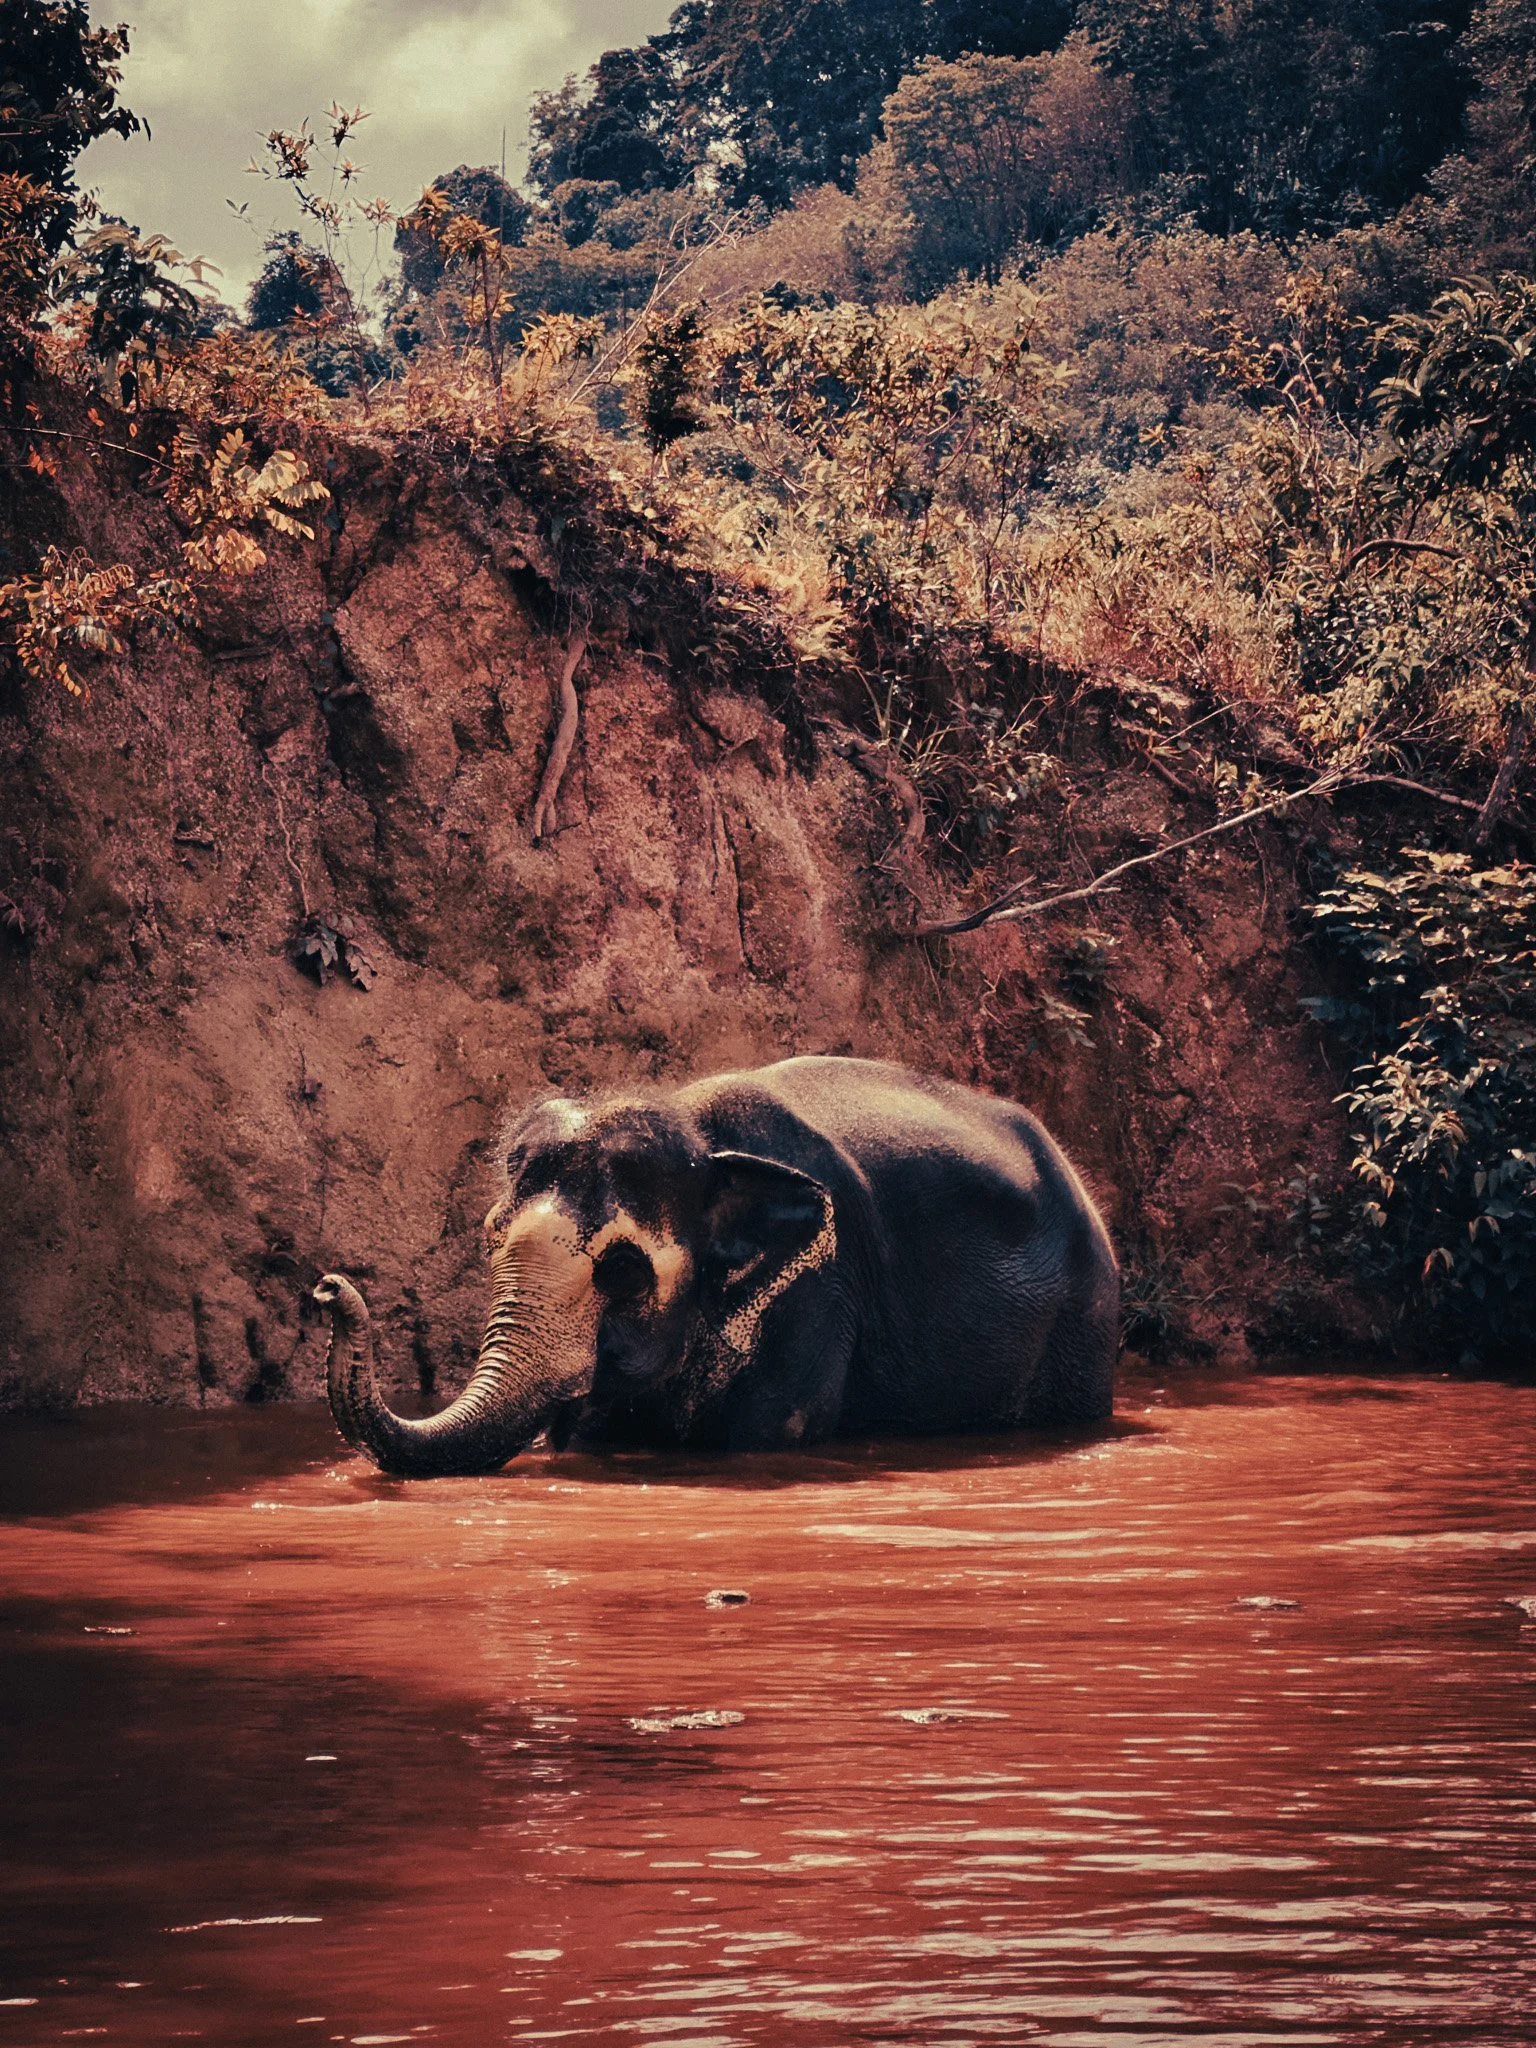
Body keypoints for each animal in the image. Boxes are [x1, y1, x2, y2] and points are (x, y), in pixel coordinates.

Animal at [313, 1055, 1119, 1476]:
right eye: (488, 1238)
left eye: (622, 1269)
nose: (326, 1285)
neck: (698, 1130)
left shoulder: (821, 1294)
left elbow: (769, 1430)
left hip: (1082, 1324)